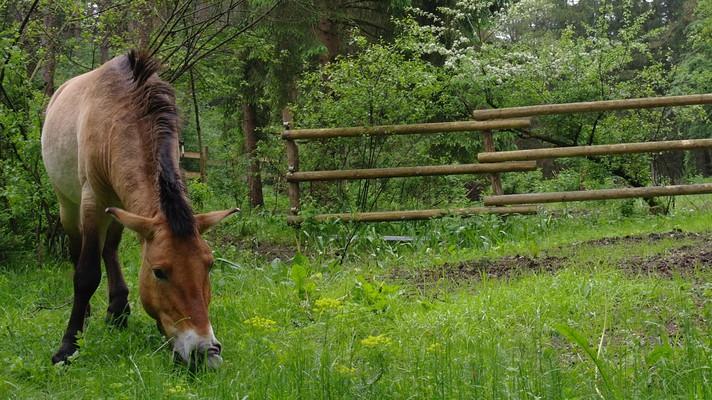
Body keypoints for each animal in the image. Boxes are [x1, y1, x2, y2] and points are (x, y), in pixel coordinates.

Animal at [41, 50, 236, 368]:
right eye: (159, 272)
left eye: (209, 265)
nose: (205, 352)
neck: (118, 118)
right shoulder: (92, 201)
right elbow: (86, 273)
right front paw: (68, 346)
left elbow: (107, 252)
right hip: (67, 204)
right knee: (76, 248)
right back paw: (89, 313)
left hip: (118, 210)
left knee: (110, 249)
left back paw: (118, 309)